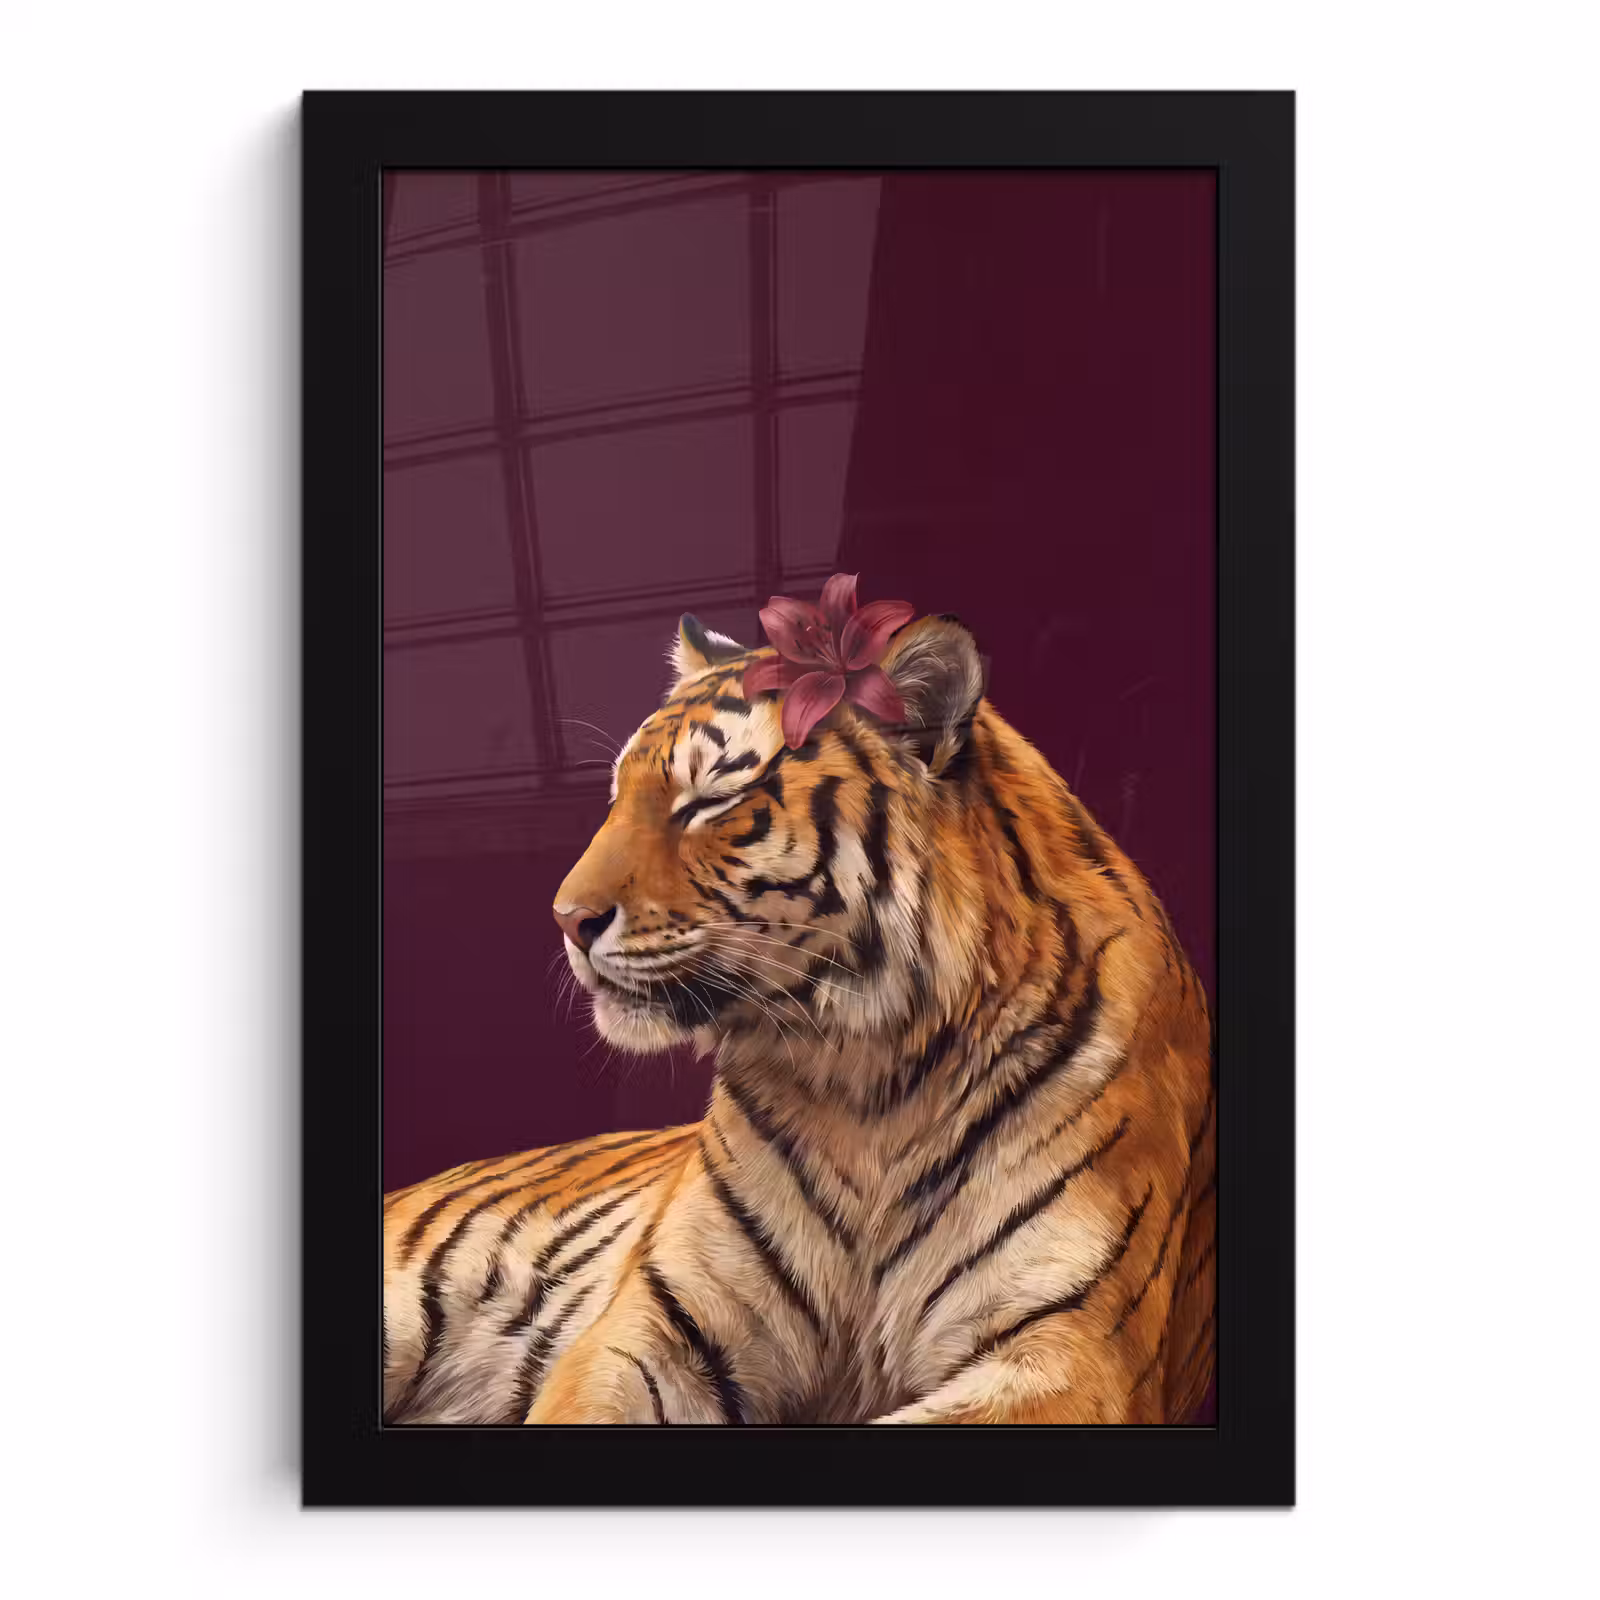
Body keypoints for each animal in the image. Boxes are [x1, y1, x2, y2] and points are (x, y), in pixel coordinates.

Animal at [383, 608, 1215, 1424]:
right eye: (616, 798)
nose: (566, 919)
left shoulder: (1067, 1351)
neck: (869, 1083)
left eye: (709, 801)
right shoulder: (658, 1322)